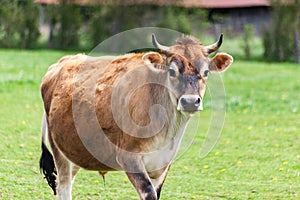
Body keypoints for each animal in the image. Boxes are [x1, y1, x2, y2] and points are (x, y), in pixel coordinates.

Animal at [39, 33, 232, 199]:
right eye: (172, 71)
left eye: (206, 72)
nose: (190, 101)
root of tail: (63, 61)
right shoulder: (129, 158)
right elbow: (148, 193)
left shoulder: (163, 164)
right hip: (59, 150)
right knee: (64, 186)